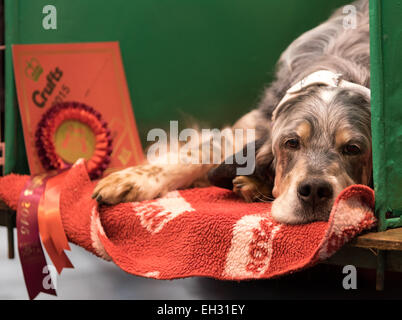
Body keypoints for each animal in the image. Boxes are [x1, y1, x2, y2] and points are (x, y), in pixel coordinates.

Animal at [92, 0, 372, 224]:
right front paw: (130, 178)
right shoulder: (247, 128)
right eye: (291, 143)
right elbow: (195, 154)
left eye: (353, 149)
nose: (314, 190)